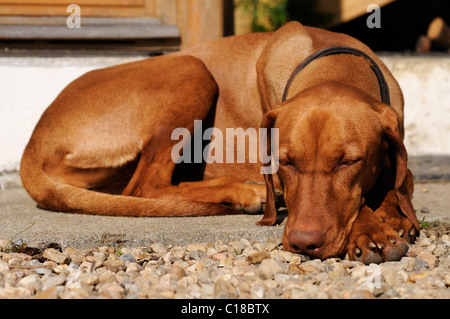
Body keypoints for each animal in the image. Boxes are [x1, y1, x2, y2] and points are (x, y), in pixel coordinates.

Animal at [20, 22, 418, 264]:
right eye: (286, 162)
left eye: (349, 162)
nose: (303, 243)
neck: (337, 62)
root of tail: (34, 140)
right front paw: (370, 231)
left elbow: (399, 180)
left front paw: (393, 211)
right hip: (191, 69)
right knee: (144, 187)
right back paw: (246, 192)